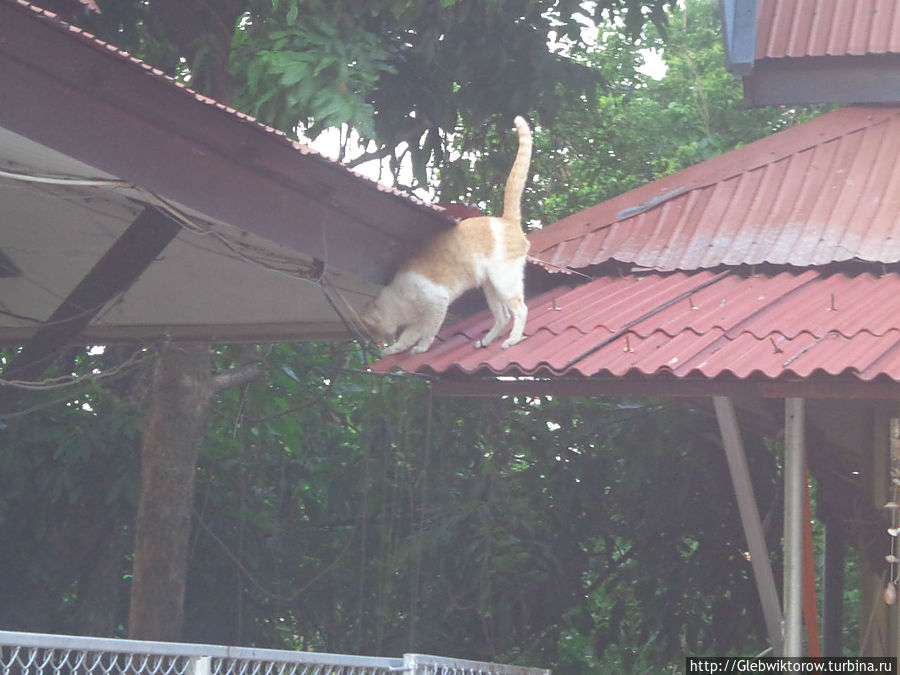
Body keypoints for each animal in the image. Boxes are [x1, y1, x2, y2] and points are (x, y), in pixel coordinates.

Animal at [362, 116, 532, 360]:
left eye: (373, 331)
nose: (379, 342)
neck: (400, 299)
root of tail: (506, 219)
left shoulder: (436, 304)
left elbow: (428, 332)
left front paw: (420, 348)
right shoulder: (417, 319)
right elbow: (409, 336)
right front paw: (396, 349)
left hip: (504, 282)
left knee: (520, 310)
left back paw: (512, 340)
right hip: (490, 287)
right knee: (502, 317)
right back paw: (486, 340)